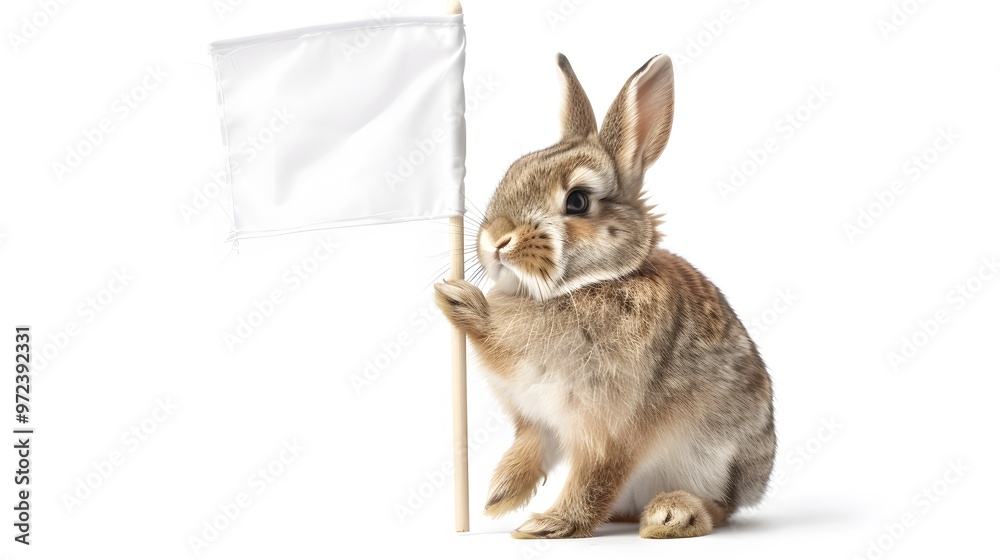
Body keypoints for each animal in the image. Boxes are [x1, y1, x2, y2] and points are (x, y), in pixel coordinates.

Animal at [434, 53, 775, 539]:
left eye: (577, 201)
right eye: (514, 171)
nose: (496, 239)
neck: (593, 282)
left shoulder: (609, 429)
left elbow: (593, 477)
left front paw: (548, 525)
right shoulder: (538, 418)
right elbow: (532, 449)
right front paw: (500, 496)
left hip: (712, 460)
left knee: (719, 508)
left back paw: (672, 514)